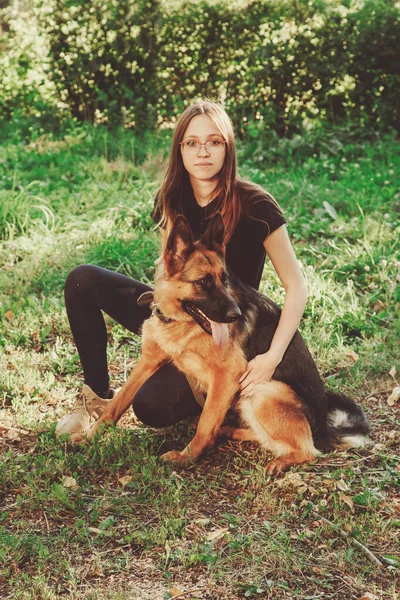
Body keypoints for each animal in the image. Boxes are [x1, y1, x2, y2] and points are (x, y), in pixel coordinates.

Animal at [76, 213, 370, 472]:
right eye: (203, 282)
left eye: (224, 279)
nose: (235, 316)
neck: (182, 322)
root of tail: (324, 430)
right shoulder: (148, 361)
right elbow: (116, 403)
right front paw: (90, 436)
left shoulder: (227, 376)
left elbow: (206, 422)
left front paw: (187, 457)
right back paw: (231, 431)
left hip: (264, 391)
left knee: (308, 450)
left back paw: (279, 461)